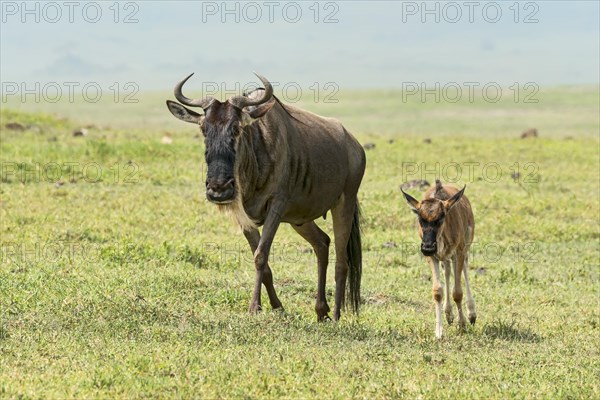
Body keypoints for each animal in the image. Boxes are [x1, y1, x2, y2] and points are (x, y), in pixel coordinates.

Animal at [404, 180, 478, 340]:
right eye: (420, 218)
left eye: (441, 217)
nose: (428, 247)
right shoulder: (432, 257)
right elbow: (438, 291)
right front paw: (439, 332)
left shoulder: (459, 251)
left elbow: (457, 292)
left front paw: (462, 325)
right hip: (444, 257)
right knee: (448, 272)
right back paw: (449, 314)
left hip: (466, 246)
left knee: (464, 270)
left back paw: (471, 314)